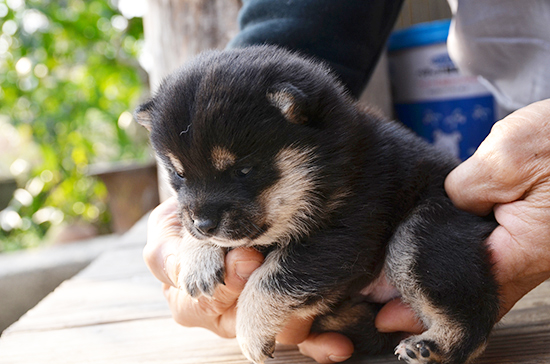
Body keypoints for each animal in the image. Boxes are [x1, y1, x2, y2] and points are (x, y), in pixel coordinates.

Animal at [137, 45, 500, 364]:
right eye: (178, 174)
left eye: (244, 170)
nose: (204, 225)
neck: (332, 165)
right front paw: (197, 256)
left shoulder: (344, 234)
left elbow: (269, 280)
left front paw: (250, 331)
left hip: (422, 235)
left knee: (474, 317)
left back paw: (435, 347)